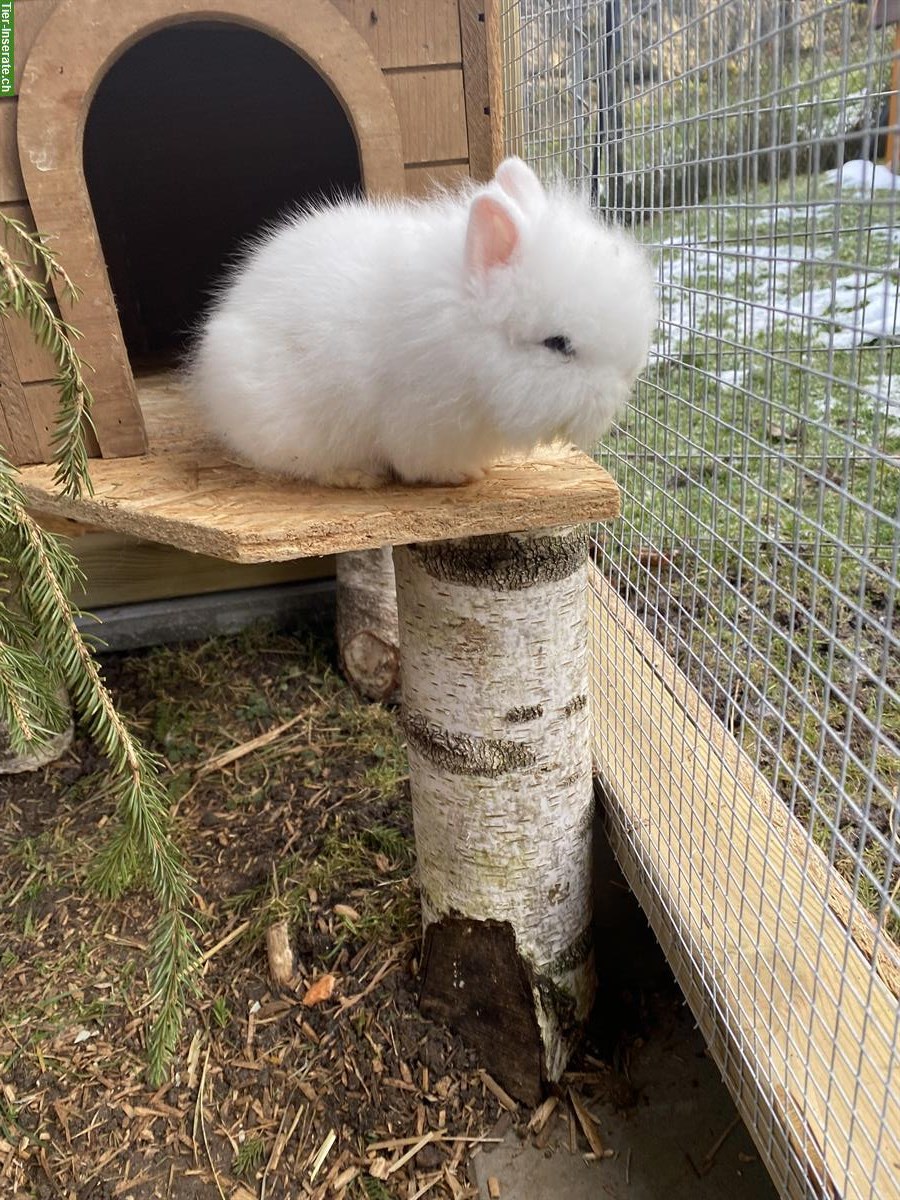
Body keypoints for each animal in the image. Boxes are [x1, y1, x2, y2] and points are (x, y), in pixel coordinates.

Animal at [188, 158, 657, 487]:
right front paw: (467, 476)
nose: (626, 380)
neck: (464, 335)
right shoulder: (423, 424)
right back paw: (356, 476)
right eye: (558, 344)